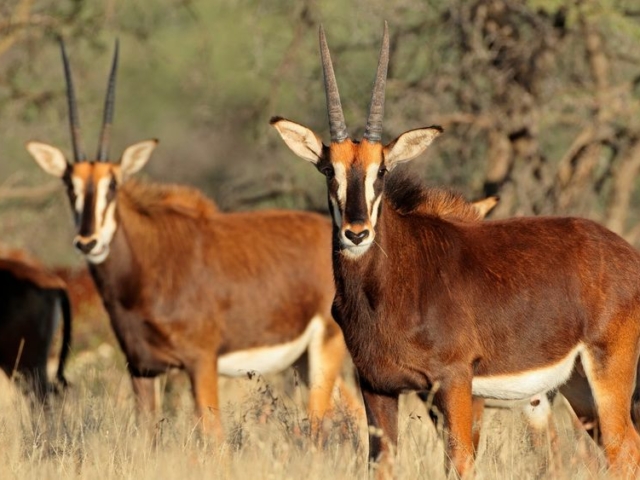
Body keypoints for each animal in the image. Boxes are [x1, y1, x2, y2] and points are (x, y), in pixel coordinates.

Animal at [26, 40, 351, 436]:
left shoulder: (201, 363)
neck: (147, 266)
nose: (89, 242)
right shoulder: (142, 368)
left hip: (324, 350)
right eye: (68, 186)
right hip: (306, 360)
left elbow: (213, 438)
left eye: (113, 185)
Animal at [271, 23, 640, 476]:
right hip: (578, 386)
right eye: (328, 170)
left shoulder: (455, 384)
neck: (392, 283)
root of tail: (627, 254)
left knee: (623, 450)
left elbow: (459, 462)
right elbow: (382, 463)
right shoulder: (377, 386)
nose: (356, 234)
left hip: (607, 372)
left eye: (383, 170)